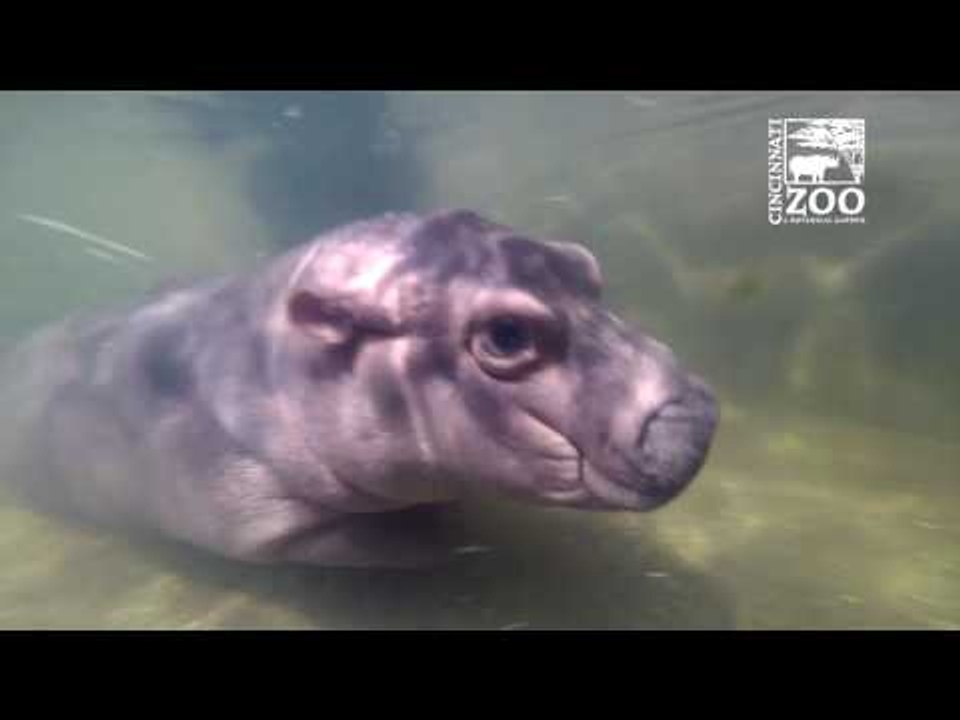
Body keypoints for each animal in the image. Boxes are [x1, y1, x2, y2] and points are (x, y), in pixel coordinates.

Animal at [0, 210, 718, 567]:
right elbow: (389, 549)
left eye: (584, 264)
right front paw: (451, 543)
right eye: (507, 335)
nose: (697, 416)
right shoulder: (259, 519)